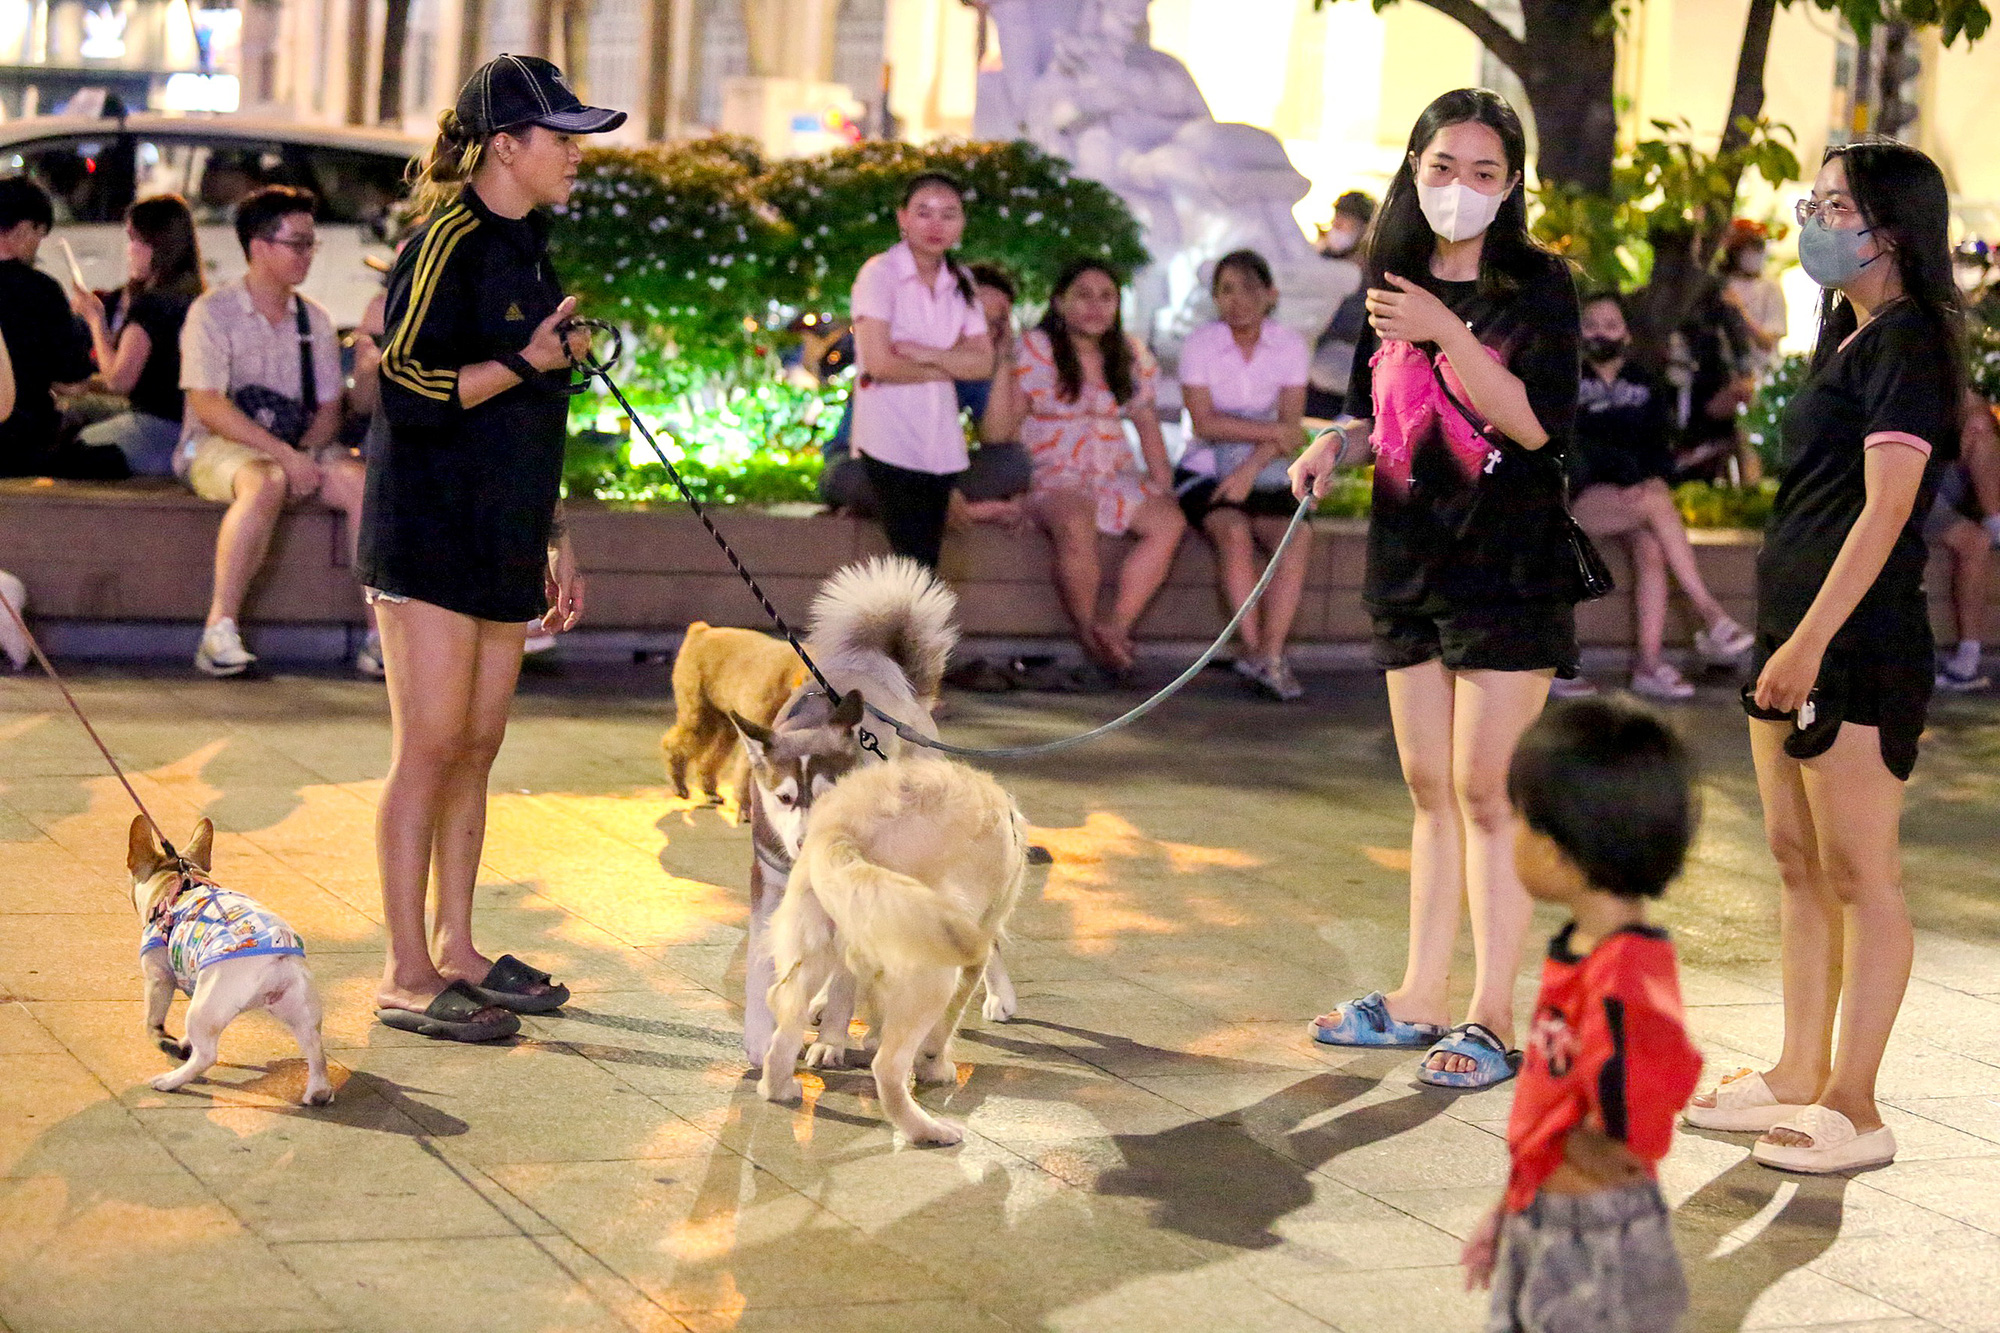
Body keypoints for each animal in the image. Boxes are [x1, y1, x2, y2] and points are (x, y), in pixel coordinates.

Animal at [125, 816, 332, 1104]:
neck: (176, 880)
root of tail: (276, 957)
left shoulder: (159, 978)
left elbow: (152, 1022)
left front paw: (168, 1043)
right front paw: (182, 1043)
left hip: (204, 1008)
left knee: (206, 1055)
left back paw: (170, 1081)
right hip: (300, 1009)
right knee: (315, 1048)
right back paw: (318, 1092)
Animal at [660, 620, 808, 800]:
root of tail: (700, 632)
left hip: (724, 720)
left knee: (710, 756)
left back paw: (709, 790)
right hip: (699, 711)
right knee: (677, 743)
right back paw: (679, 785)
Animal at [732, 556, 1016, 1064]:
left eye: (830, 795)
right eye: (784, 798)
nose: (804, 841)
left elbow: (848, 978)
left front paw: (831, 1041)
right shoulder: (770, 885)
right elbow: (762, 964)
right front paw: (761, 1038)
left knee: (988, 935)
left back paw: (1000, 997)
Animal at [752, 752, 1032, 1144]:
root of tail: (844, 828)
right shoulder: (971, 948)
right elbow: (947, 1022)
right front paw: (935, 1066)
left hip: (812, 951)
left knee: (783, 1036)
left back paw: (779, 1089)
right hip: (933, 970)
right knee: (886, 1067)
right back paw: (928, 1131)